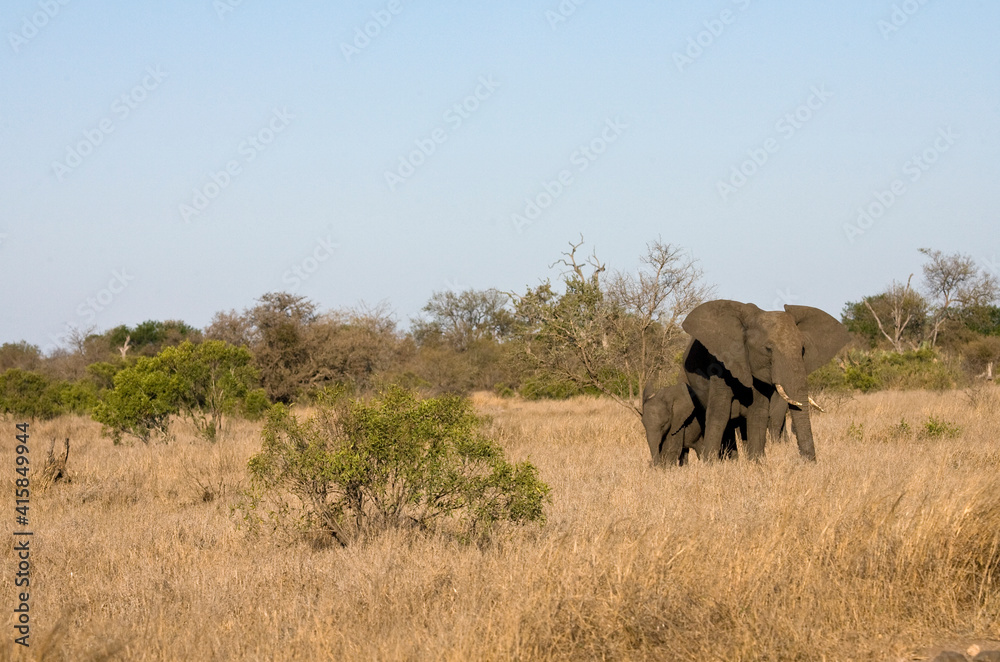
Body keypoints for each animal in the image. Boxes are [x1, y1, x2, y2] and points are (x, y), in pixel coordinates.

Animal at [680, 300, 851, 462]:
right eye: (768, 349)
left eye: (803, 349)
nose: (807, 462)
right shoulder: (721, 363)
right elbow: (719, 413)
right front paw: (710, 464)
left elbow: (758, 413)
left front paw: (756, 463)